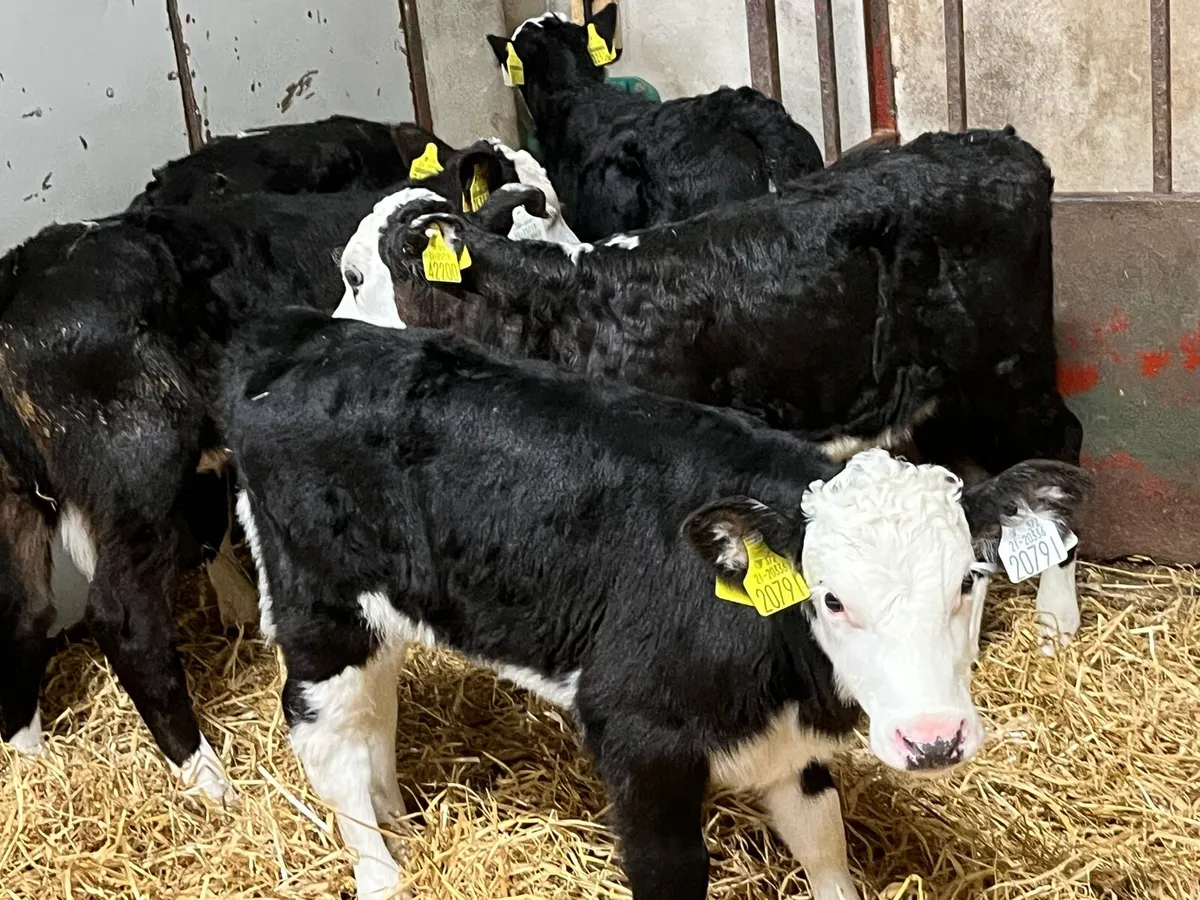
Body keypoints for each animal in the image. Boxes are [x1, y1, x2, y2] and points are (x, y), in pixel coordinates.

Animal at [221, 306, 1093, 900]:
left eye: (968, 580)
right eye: (833, 599)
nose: (933, 740)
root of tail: (311, 337)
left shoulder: (794, 745)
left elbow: (823, 844)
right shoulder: (638, 736)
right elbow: (670, 870)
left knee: (377, 715)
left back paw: (402, 825)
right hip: (319, 605)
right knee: (331, 739)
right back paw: (383, 871)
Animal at [338, 126, 1086, 651]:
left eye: (355, 274)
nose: (332, 334)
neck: (566, 313)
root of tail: (1001, 143)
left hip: (1009, 373)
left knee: (1061, 440)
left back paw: (1057, 614)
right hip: (945, 398)